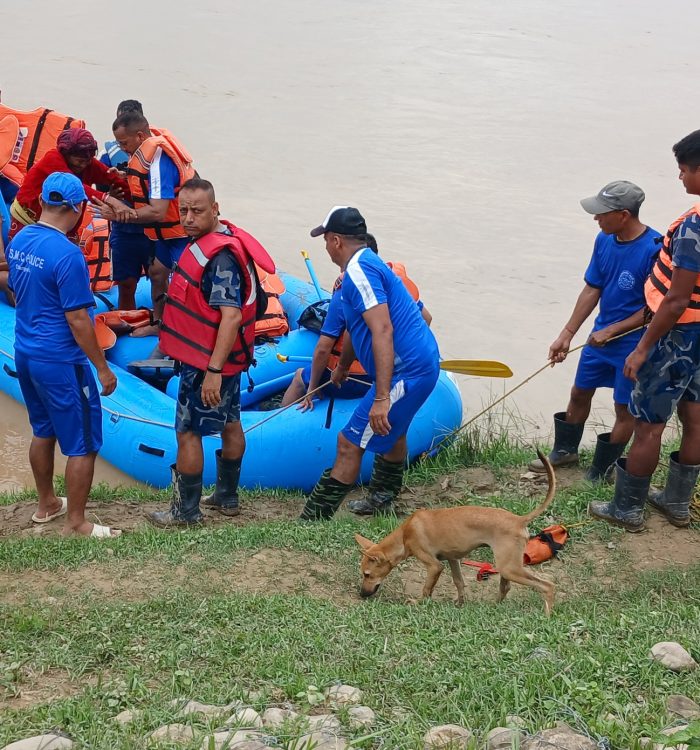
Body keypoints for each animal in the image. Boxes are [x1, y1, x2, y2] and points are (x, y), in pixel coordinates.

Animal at [356, 452, 556, 616]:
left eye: (367, 574)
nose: (361, 594)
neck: (405, 534)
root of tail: (519, 519)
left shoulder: (434, 566)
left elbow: (426, 588)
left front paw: (418, 603)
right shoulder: (453, 559)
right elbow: (459, 582)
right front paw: (460, 603)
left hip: (509, 567)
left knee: (547, 585)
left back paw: (546, 615)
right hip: (507, 566)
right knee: (505, 587)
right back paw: (494, 607)